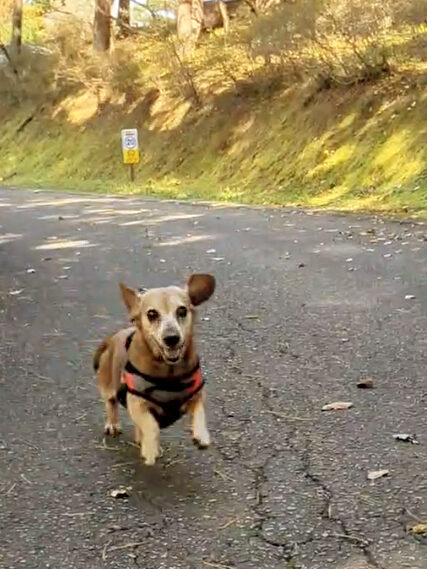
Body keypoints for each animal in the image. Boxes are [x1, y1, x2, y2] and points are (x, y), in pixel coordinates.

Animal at [93, 273, 215, 465]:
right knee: (111, 404)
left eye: (182, 310)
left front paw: (201, 436)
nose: (171, 338)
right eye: (152, 313)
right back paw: (113, 425)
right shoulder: (137, 403)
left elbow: (200, 412)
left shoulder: (197, 396)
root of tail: (114, 337)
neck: (168, 372)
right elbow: (151, 425)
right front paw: (151, 449)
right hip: (108, 385)